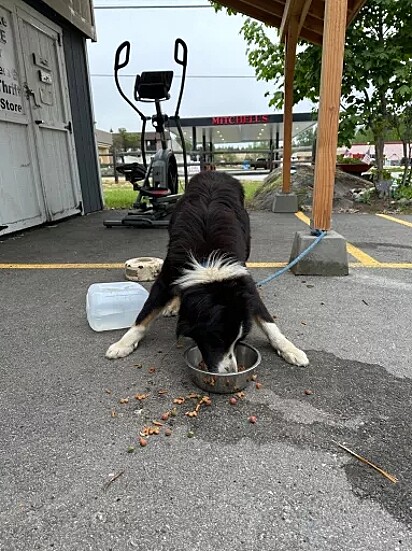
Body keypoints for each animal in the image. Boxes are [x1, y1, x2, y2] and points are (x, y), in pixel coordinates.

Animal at [106, 170, 308, 374]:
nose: (232, 372)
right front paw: (123, 344)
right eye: (217, 338)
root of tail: (216, 172)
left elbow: (268, 322)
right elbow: (144, 314)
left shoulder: (245, 286)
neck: (209, 260)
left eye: (239, 340)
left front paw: (290, 349)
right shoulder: (169, 274)